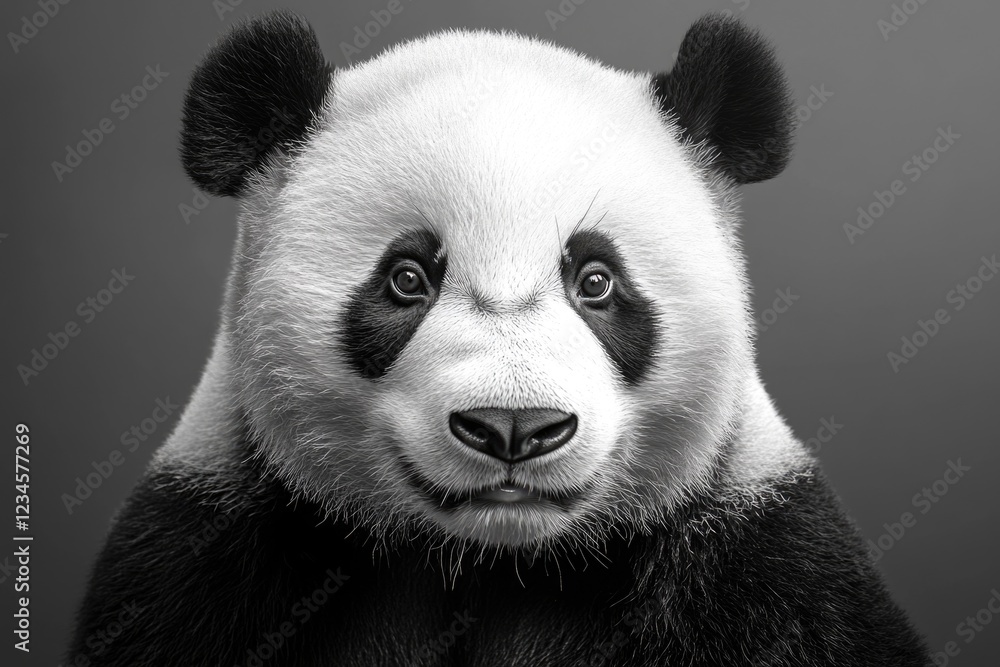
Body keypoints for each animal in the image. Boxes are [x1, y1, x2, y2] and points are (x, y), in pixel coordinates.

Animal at [69, 10, 929, 666]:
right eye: (406, 278)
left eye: (596, 280)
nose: (515, 427)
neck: (491, 562)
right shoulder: (210, 556)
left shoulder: (759, 568)